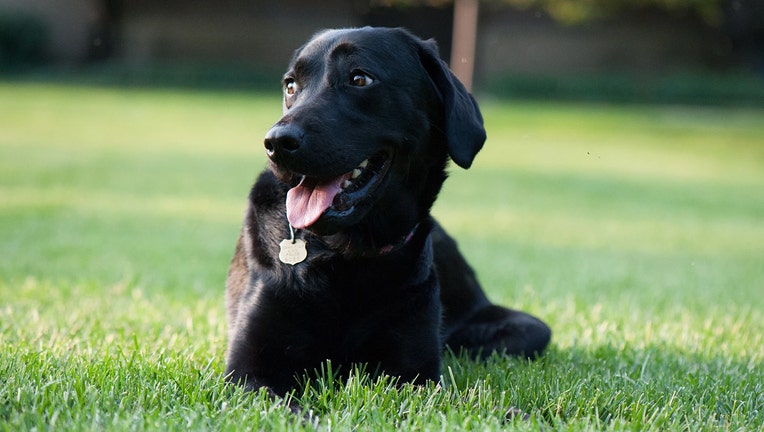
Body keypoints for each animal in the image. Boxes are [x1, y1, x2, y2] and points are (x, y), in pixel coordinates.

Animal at [224, 26, 552, 398]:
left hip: (528, 330)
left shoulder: (416, 374)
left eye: (359, 78)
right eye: (291, 86)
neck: (348, 255)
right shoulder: (248, 372)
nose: (276, 142)